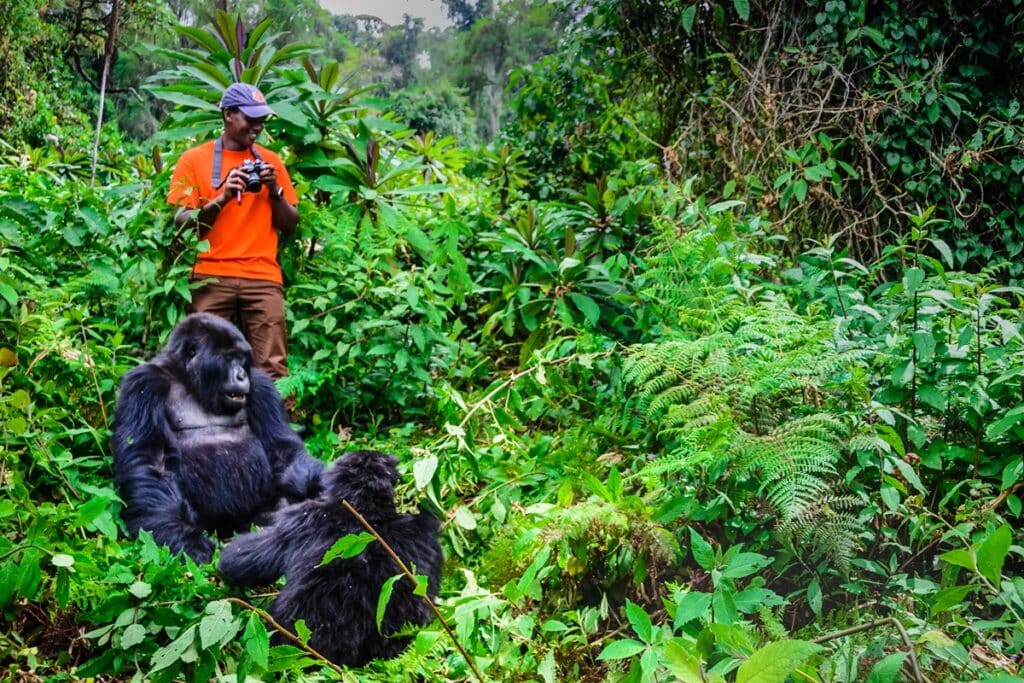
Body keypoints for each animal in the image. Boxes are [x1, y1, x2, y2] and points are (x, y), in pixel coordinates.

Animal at [111, 313, 321, 565]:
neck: (187, 378)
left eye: (242, 360)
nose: (241, 375)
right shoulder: (143, 383)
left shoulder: (261, 385)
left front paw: (317, 486)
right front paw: (183, 539)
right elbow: (149, 461)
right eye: (229, 358)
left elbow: (281, 447)